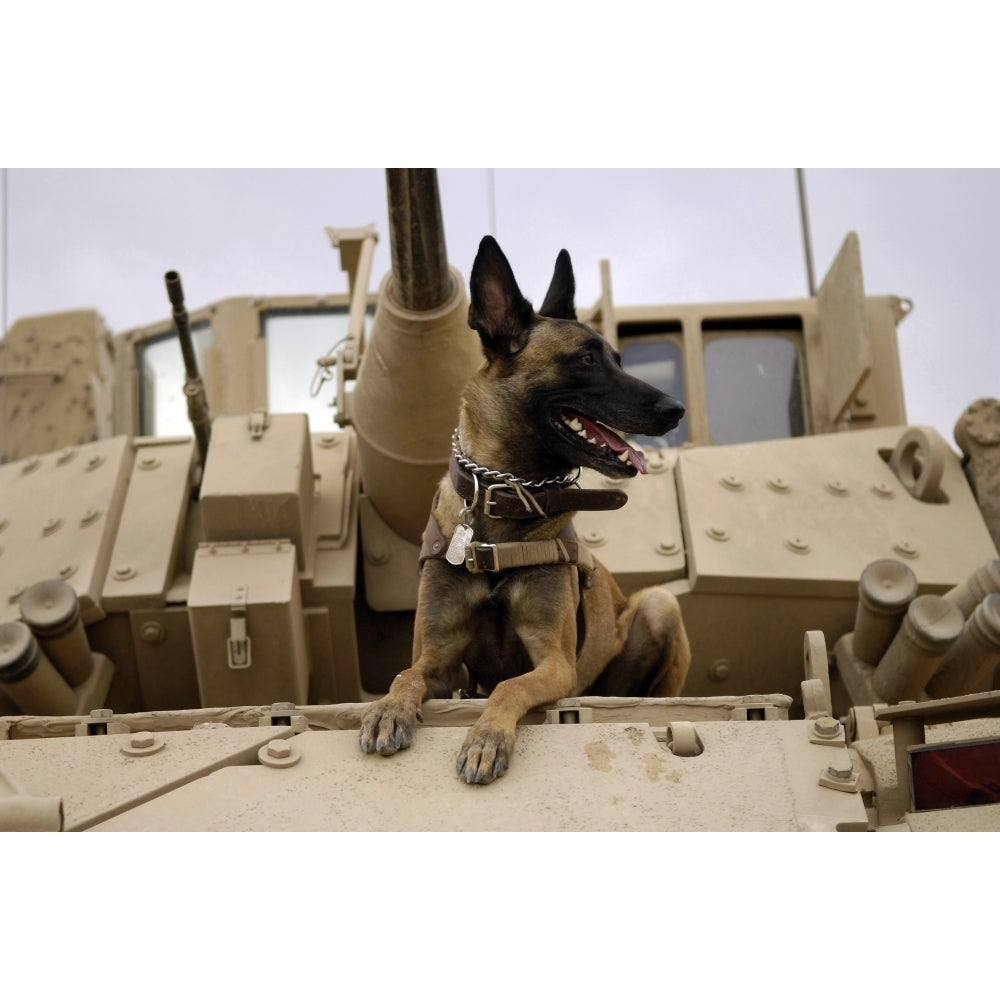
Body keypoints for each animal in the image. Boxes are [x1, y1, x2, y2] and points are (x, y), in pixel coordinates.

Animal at [362, 234, 696, 780]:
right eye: (586, 359)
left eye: (617, 358)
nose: (675, 409)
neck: (504, 502)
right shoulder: (438, 659)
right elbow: (404, 675)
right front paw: (389, 710)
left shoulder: (554, 664)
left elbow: (508, 685)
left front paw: (486, 739)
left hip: (658, 605)